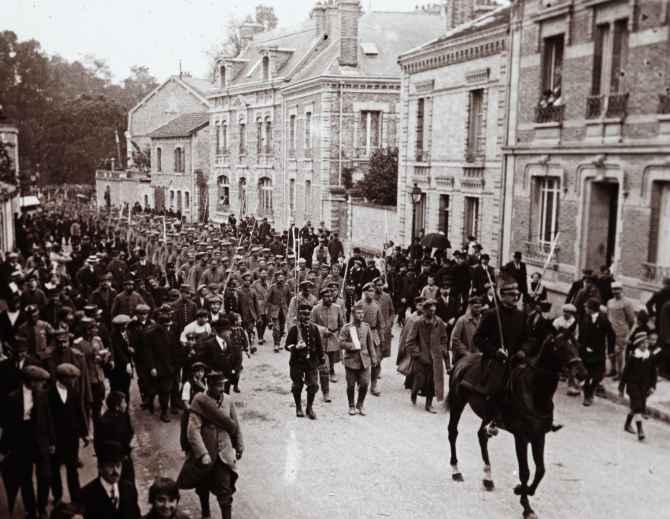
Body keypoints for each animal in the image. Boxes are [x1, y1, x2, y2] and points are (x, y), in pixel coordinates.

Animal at [448, 336, 592, 516]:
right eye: (559, 347)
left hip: (487, 414)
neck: (535, 393)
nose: (582, 373)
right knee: (453, 433)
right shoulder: (521, 437)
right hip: (457, 403)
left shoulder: (538, 436)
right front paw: (526, 505)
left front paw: (522, 491)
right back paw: (456, 471)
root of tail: (463, 359)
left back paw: (488, 478)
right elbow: (525, 472)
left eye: (577, 345)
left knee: (482, 436)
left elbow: (540, 470)